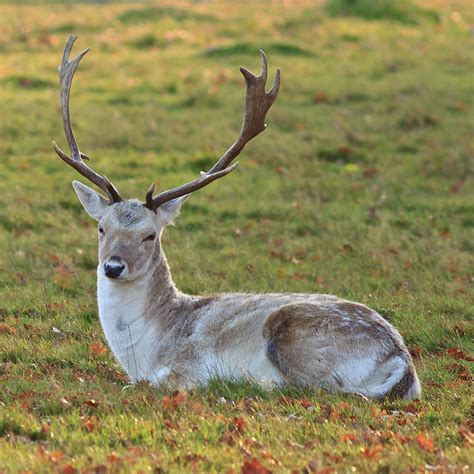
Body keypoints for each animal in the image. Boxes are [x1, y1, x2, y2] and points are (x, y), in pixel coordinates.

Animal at [52, 36, 422, 400]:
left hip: (292, 336)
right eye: (101, 228)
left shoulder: (190, 366)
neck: (145, 352)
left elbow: (150, 383)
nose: (113, 267)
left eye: (150, 235)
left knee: (323, 388)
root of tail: (401, 361)